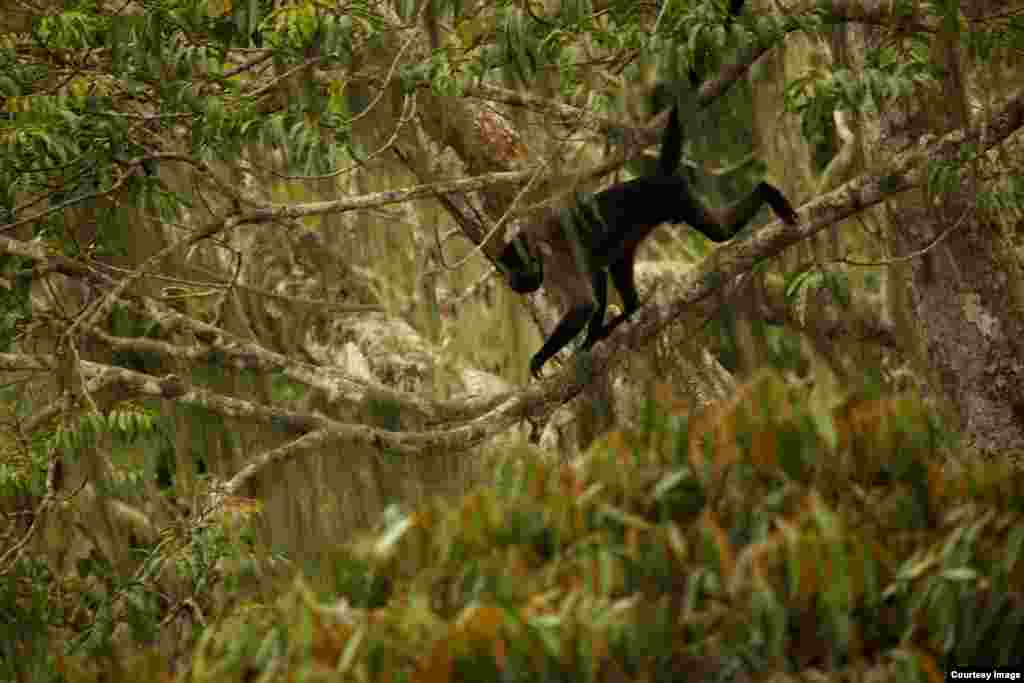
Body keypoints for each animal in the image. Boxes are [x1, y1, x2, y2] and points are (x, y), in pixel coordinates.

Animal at [497, 104, 800, 380]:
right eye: (505, 271)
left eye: (515, 269)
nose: (510, 281)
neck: (534, 246)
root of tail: (657, 176)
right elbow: (597, 278)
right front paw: (592, 339)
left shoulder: (557, 261)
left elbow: (585, 303)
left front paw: (544, 356)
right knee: (621, 266)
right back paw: (630, 309)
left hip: (678, 195)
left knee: (720, 232)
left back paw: (767, 192)